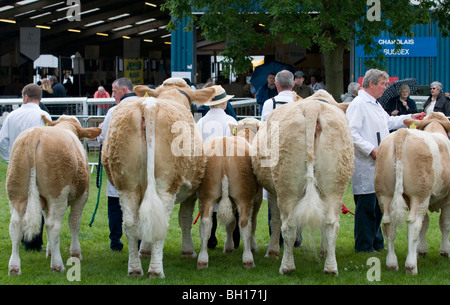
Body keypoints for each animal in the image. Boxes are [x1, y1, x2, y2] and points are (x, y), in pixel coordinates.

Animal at [374, 111, 450, 274]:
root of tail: (402, 132)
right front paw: (445, 251)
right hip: (419, 195)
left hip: (384, 194)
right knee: (413, 223)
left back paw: (392, 263)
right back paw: (411, 266)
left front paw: (420, 250)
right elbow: (444, 223)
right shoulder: (447, 198)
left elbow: (426, 223)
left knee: (388, 224)